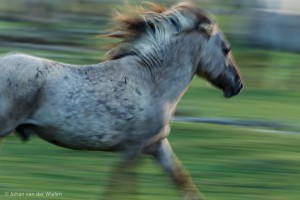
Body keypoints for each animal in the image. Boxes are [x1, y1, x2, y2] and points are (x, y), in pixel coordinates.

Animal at [0, 1, 244, 200]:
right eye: (226, 49)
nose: (238, 85)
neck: (152, 83)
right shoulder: (132, 148)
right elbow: (117, 186)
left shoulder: (156, 145)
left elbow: (181, 181)